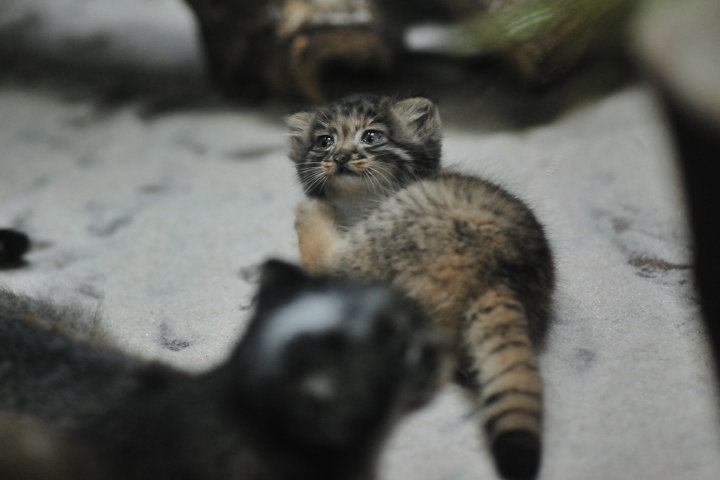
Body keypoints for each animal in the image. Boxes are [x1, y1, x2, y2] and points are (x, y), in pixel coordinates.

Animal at [286, 94, 556, 480]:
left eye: (371, 136)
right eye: (324, 141)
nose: (340, 157)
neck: (356, 204)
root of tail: (501, 273)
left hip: (383, 238)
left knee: (326, 261)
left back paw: (311, 211)